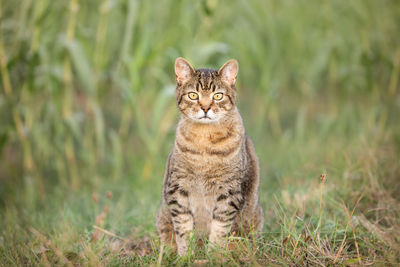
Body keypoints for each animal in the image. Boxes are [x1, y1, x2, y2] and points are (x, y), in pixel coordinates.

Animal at [155, 57, 262, 255]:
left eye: (218, 96)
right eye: (193, 95)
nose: (205, 108)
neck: (204, 140)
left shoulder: (229, 191)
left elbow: (219, 228)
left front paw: (214, 254)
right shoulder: (177, 187)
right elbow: (183, 227)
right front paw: (185, 255)